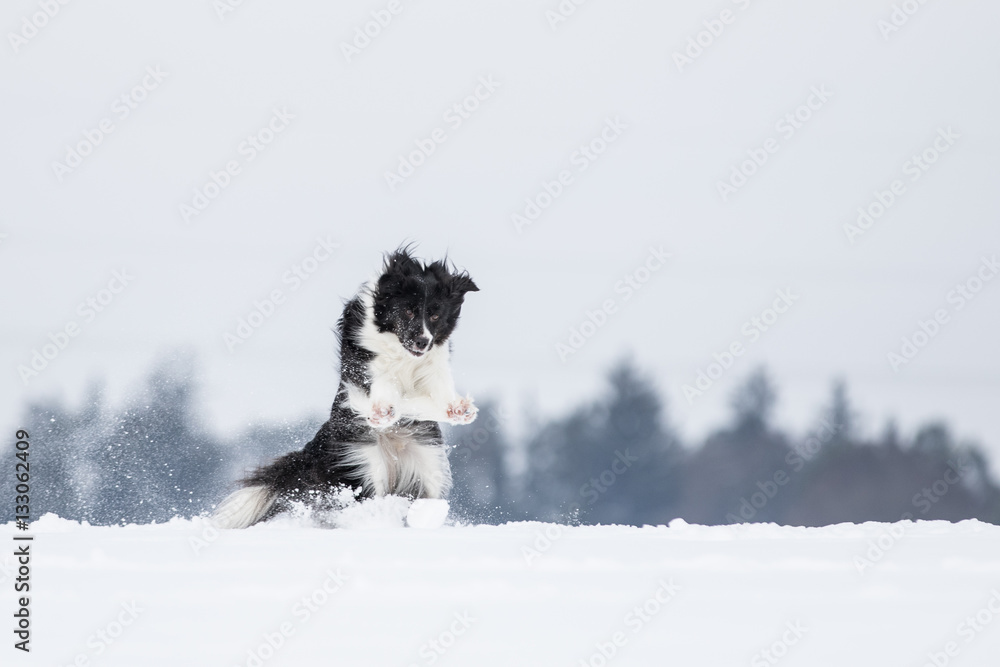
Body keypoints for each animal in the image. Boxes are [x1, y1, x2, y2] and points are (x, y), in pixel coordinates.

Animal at [213, 248, 478, 528]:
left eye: (435, 316)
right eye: (408, 311)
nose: (422, 341)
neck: (401, 351)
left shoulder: (433, 365)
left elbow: (437, 387)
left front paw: (458, 409)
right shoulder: (364, 364)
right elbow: (381, 382)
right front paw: (383, 410)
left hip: (426, 463)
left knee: (427, 496)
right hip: (365, 465)